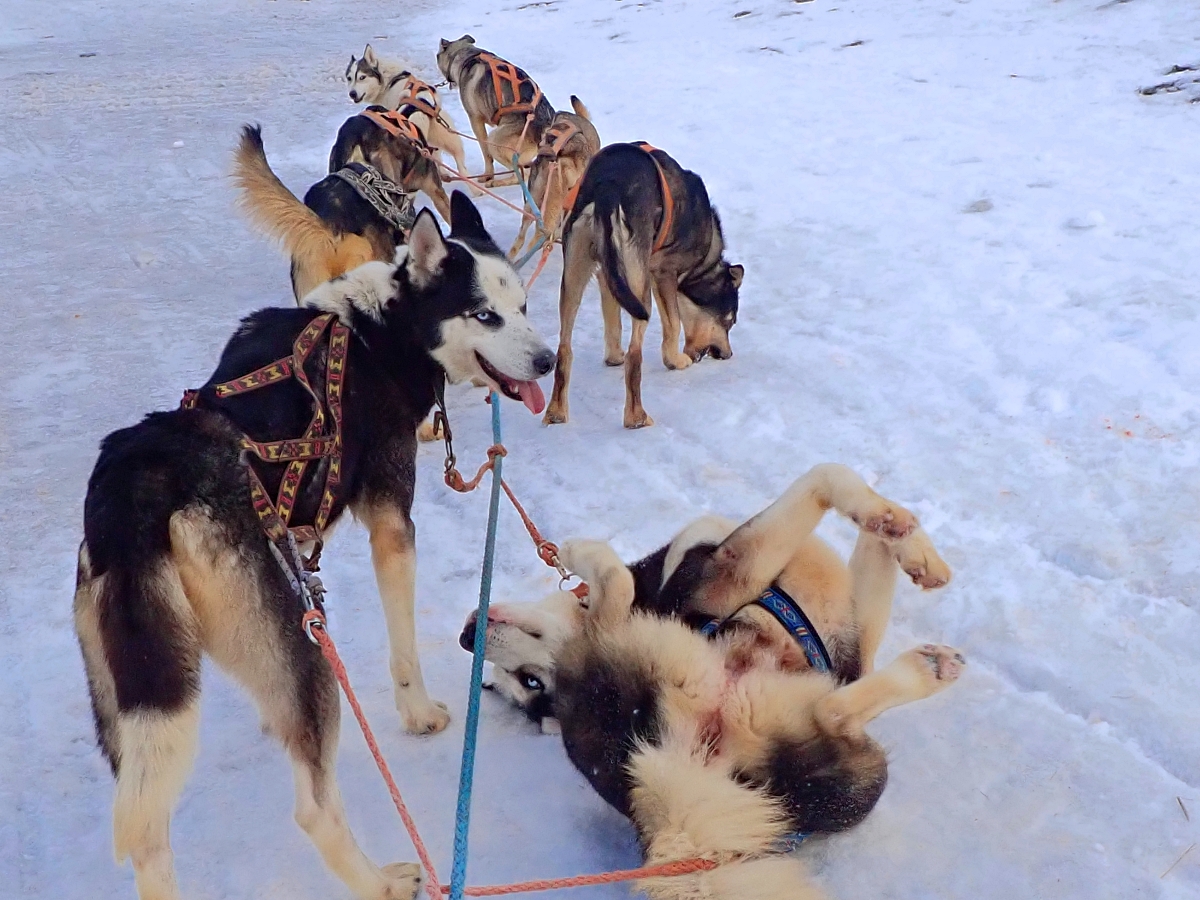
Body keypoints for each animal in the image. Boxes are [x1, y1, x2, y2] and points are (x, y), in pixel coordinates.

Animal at [77, 196, 554, 900]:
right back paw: (383, 882)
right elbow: (405, 647)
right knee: (313, 809)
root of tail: (139, 485)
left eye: (522, 305)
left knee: (148, 834)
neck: (380, 331)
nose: (547, 360)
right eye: (484, 314)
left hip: (134, 703)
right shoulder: (392, 523)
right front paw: (418, 713)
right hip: (300, 647)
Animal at [458, 465, 964, 900]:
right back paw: (928, 669)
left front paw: (914, 549)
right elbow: (827, 475)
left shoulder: (853, 643)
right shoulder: (736, 565)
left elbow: (875, 539)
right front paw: (892, 522)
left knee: (833, 713)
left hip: (857, 774)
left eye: (527, 681)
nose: (466, 639)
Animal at [544, 143, 739, 429]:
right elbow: (674, 325)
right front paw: (676, 361)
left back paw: (556, 411)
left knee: (564, 348)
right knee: (635, 355)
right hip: (640, 289)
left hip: (574, 276)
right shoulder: (663, 273)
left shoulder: (609, 274)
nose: (727, 354)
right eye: (730, 320)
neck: (704, 259)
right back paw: (636, 417)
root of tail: (608, 186)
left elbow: (613, 321)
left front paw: (613, 356)